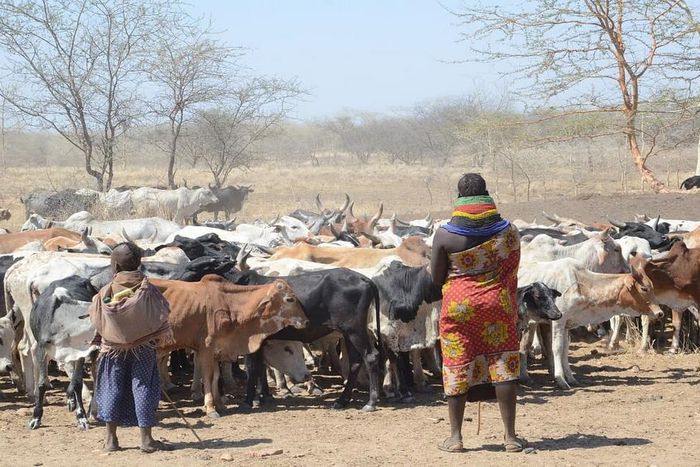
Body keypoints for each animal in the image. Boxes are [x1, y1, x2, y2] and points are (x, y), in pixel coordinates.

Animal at [152, 276, 308, 417]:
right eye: (289, 299)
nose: (306, 322)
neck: (229, 306)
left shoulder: (217, 351)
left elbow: (215, 377)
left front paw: (220, 404)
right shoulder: (206, 349)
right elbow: (208, 377)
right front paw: (210, 408)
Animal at [518, 257, 664, 388]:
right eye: (644, 288)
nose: (660, 313)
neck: (581, 284)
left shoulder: (566, 325)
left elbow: (565, 349)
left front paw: (571, 378)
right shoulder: (558, 320)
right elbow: (557, 348)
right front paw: (561, 379)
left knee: (524, 346)